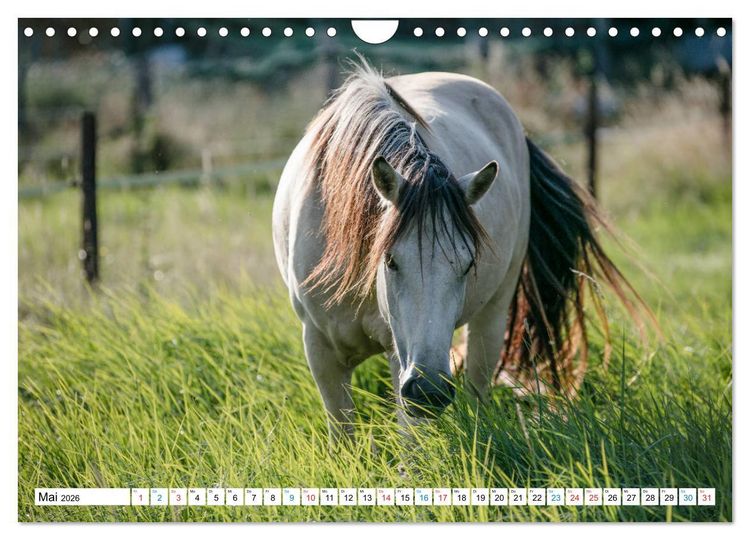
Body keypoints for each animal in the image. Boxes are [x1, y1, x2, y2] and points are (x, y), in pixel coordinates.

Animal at [272, 61, 646, 443]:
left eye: (468, 265)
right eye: (389, 260)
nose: (430, 391)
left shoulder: (400, 354)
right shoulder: (321, 352)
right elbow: (343, 437)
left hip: (491, 318)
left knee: (478, 387)